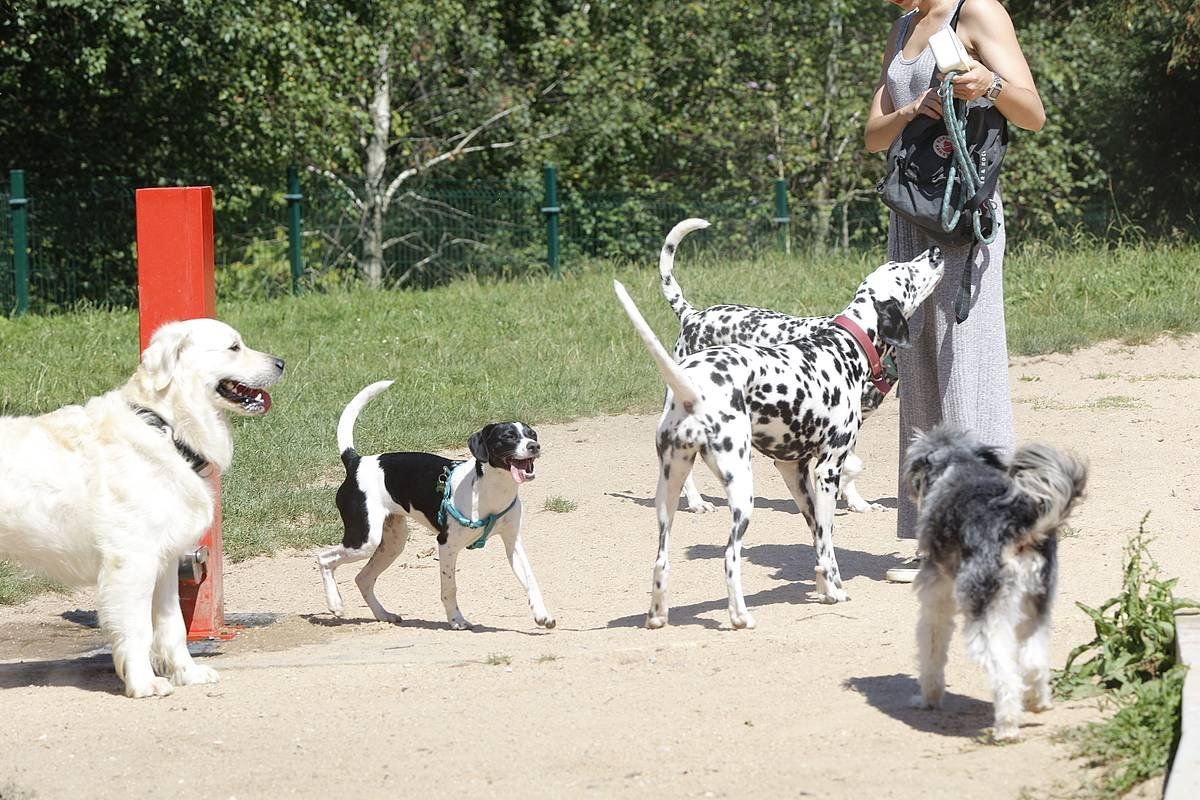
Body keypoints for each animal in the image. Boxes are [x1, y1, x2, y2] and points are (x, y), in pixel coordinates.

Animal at [0, 316, 283, 695]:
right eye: (234, 347)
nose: (281, 363)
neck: (168, 428)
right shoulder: (132, 562)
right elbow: (137, 629)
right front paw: (144, 683)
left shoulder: (165, 563)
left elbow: (173, 627)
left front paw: (187, 673)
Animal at [312, 381, 549, 633]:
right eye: (508, 437)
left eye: (532, 434)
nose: (534, 446)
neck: (491, 490)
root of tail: (356, 462)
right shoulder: (446, 545)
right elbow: (449, 588)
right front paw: (456, 620)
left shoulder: (513, 543)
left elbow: (531, 580)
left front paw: (542, 615)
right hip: (364, 540)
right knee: (324, 558)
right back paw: (335, 604)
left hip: (392, 543)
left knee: (363, 578)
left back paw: (383, 614)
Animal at [902, 422, 1089, 743]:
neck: (958, 465)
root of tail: (1018, 523)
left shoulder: (936, 600)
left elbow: (932, 650)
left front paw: (928, 698)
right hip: (1035, 606)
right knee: (1033, 660)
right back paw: (1037, 702)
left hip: (985, 611)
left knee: (1006, 672)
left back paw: (1007, 727)